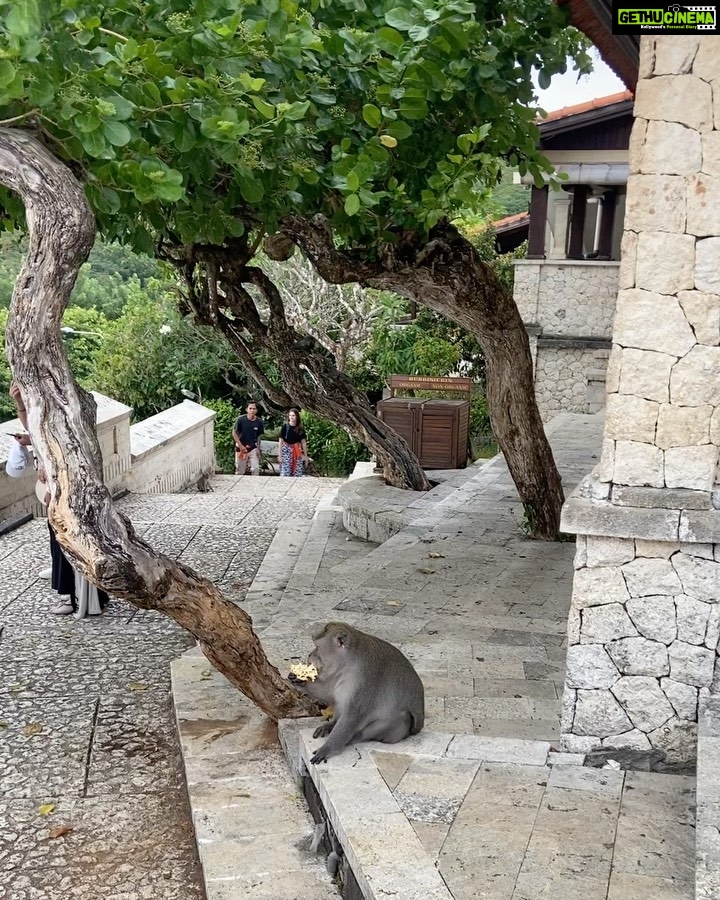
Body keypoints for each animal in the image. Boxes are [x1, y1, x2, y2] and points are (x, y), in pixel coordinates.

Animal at [289, 622, 424, 764]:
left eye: (317, 647)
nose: (310, 655)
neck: (348, 664)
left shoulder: (365, 682)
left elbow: (352, 715)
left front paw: (327, 749)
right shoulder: (336, 674)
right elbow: (328, 692)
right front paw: (299, 680)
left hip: (397, 733)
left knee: (402, 717)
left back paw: (352, 737)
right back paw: (332, 723)